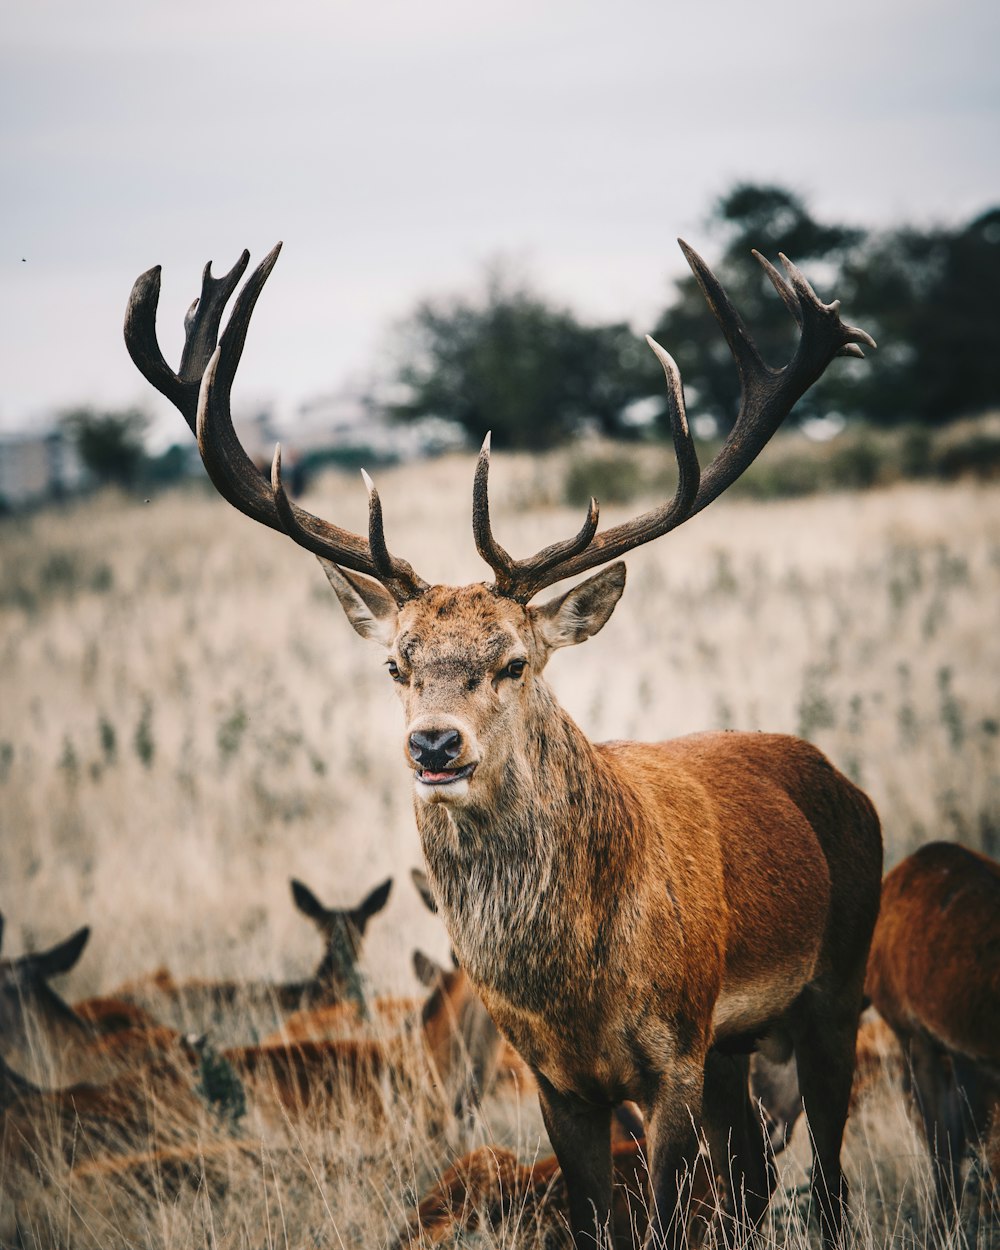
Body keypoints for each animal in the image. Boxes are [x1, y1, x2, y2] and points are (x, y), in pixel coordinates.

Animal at [125, 238, 885, 1245]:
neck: (576, 988)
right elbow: (600, 1217)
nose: (434, 746)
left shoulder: (673, 1051)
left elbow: (667, 1216)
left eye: (514, 661)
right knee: (757, 1181)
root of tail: (843, 782)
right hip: (737, 1044)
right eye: (397, 665)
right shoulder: (557, 1079)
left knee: (830, 1177)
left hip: (835, 980)